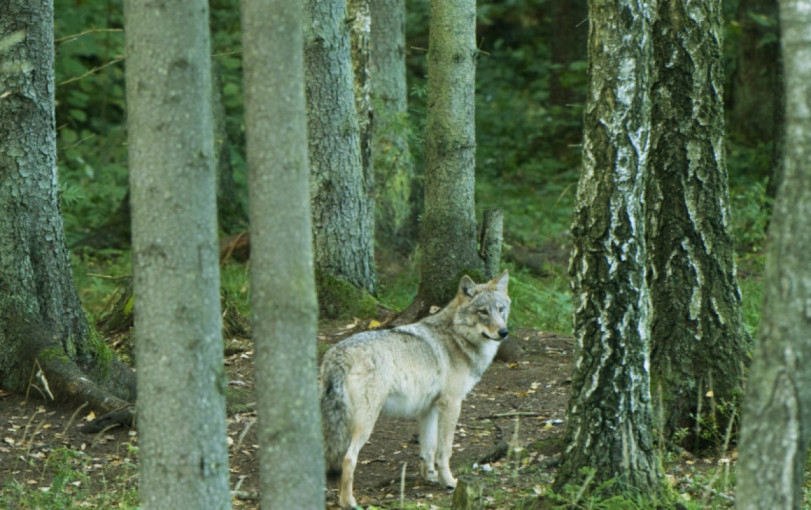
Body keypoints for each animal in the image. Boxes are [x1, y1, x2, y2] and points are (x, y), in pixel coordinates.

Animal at [320, 270, 510, 506]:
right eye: (483, 312)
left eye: (500, 309)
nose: (504, 332)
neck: (457, 337)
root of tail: (337, 353)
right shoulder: (452, 404)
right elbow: (444, 450)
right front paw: (449, 482)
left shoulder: (429, 409)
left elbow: (428, 449)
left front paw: (430, 477)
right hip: (365, 423)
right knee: (348, 458)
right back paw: (348, 502)